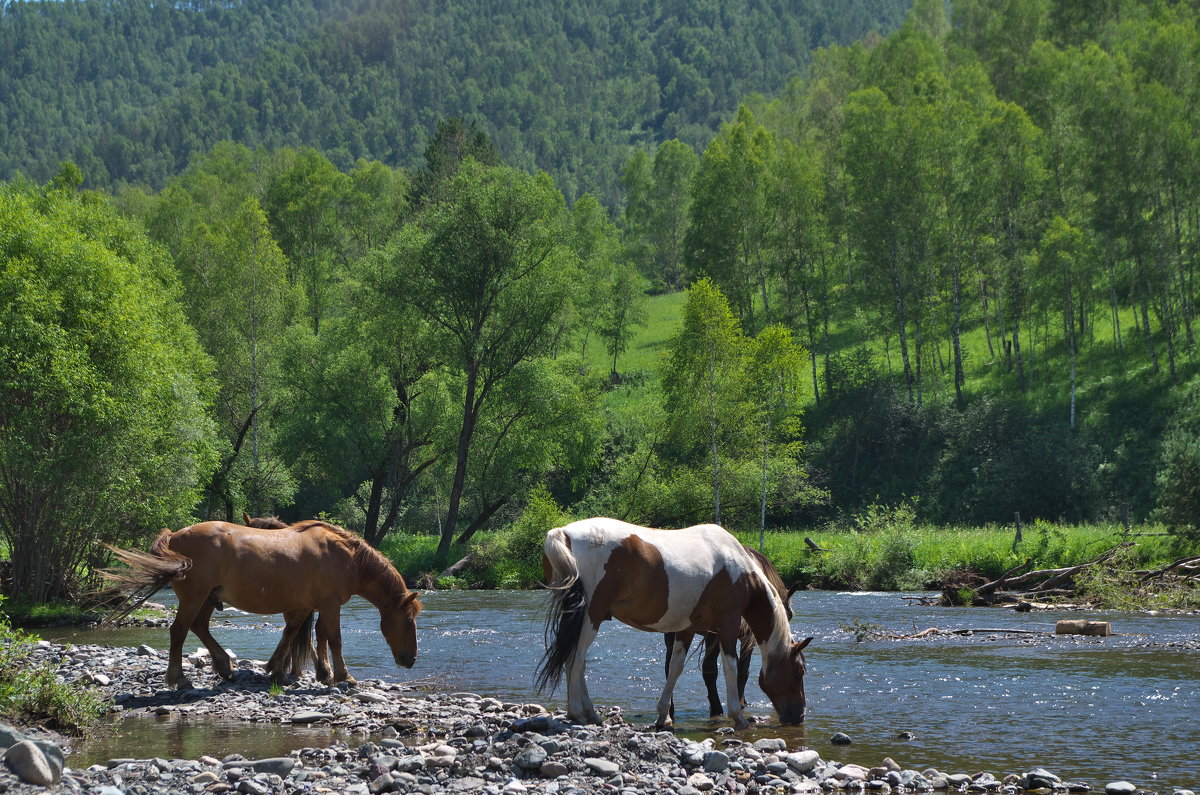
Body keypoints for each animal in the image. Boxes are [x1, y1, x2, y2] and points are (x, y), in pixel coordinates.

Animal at [100, 521, 424, 686]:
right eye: (409, 620)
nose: (409, 660)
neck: (345, 557)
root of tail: (174, 536)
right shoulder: (330, 604)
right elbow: (334, 638)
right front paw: (344, 676)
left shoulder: (308, 604)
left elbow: (297, 633)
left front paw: (282, 668)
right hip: (195, 596)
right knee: (179, 631)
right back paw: (177, 678)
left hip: (207, 598)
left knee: (199, 626)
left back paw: (224, 665)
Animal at [662, 547, 801, 720]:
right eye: (788, 616)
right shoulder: (748, 638)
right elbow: (743, 669)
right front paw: (741, 702)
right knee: (708, 668)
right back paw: (716, 709)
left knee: (670, 666)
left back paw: (670, 711)